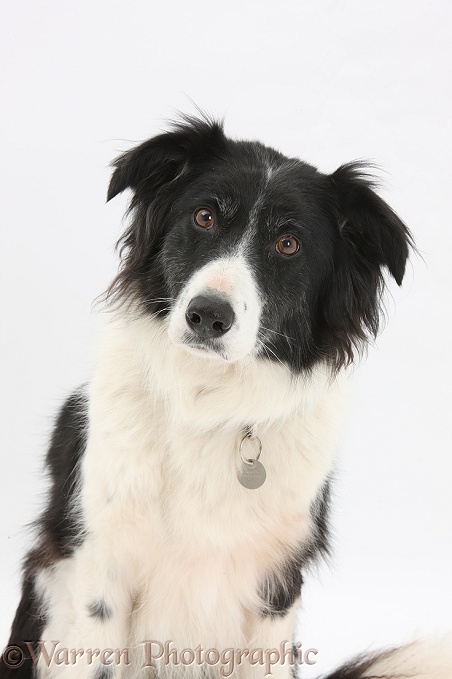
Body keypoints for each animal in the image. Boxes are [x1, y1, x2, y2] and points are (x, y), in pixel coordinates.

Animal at [1, 118, 450, 679]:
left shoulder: (276, 584)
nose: (208, 315)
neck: (211, 400)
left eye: (287, 244)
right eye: (205, 216)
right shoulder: (101, 564)